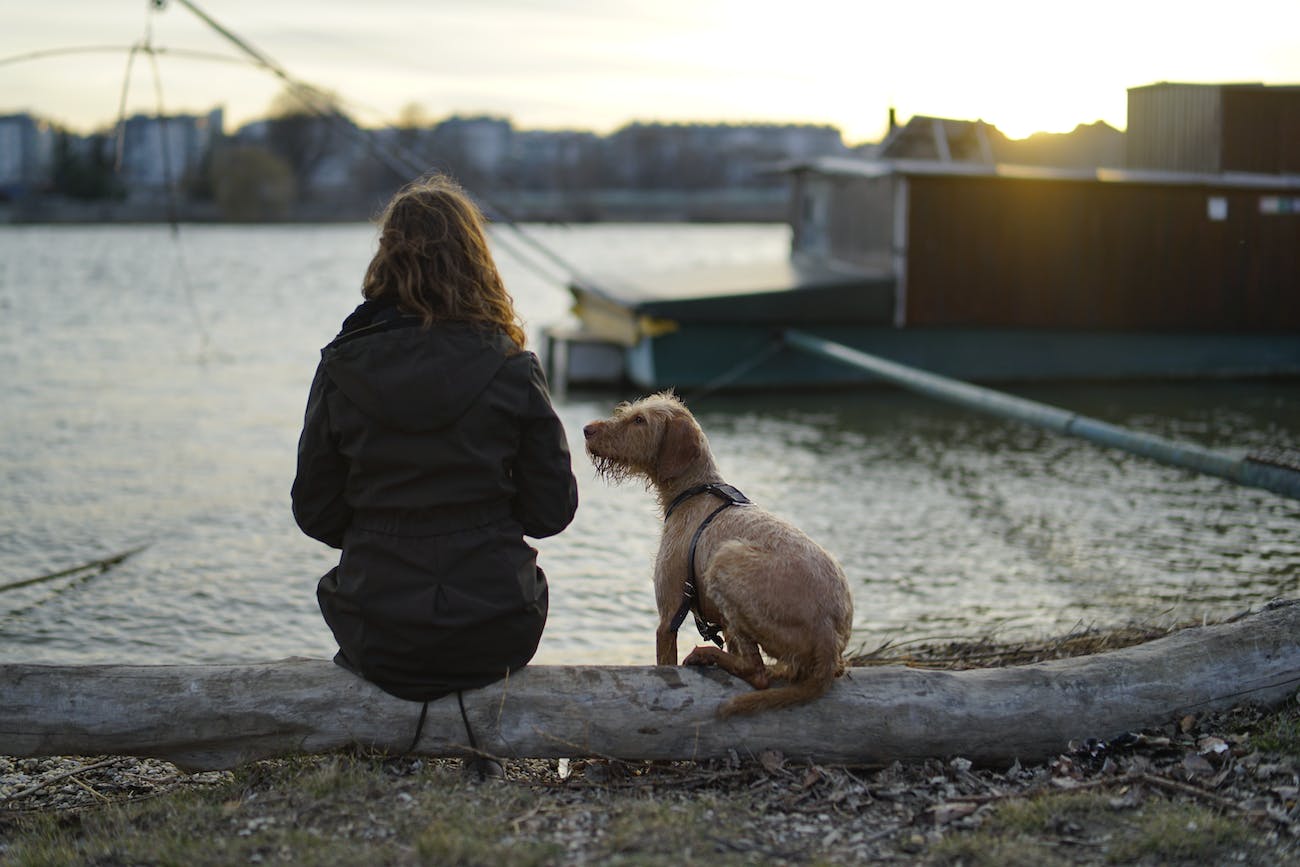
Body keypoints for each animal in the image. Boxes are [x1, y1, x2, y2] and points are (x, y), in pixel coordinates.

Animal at [582, 392, 852, 717]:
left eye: (639, 420)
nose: (587, 429)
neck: (695, 490)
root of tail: (828, 635)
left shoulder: (668, 617)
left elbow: (665, 663)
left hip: (725, 561)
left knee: (757, 672)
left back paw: (708, 656)